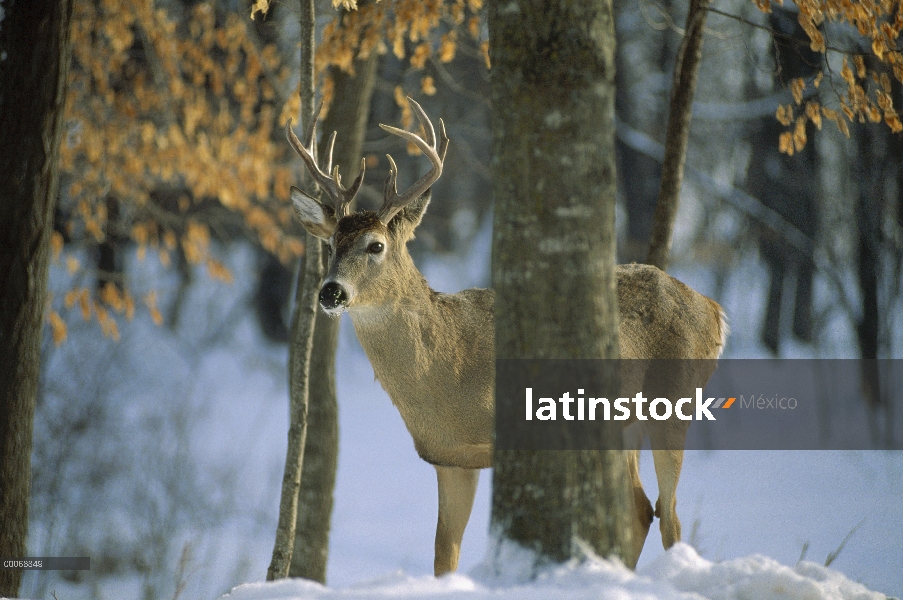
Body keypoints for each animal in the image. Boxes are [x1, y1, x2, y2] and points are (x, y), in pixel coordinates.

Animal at [290, 99, 728, 576]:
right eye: (331, 244)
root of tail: (713, 309)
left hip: (673, 401)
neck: (448, 374)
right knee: (641, 509)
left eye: (375, 246)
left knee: (669, 515)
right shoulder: (449, 456)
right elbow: (444, 554)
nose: (331, 291)